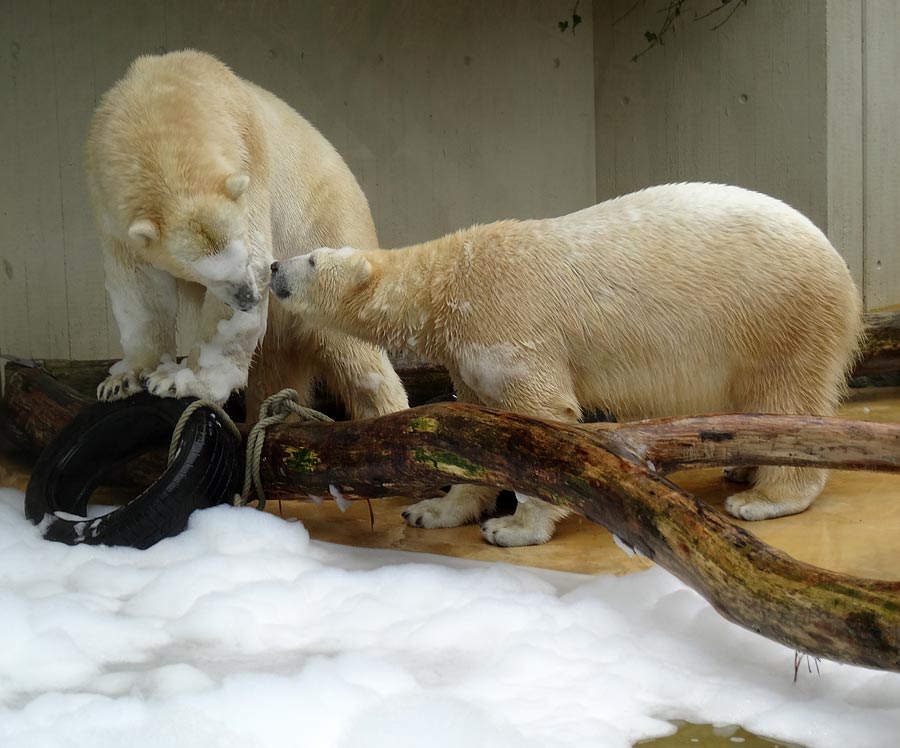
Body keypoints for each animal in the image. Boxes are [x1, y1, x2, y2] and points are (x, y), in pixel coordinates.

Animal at [84, 49, 408, 418]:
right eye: (200, 273)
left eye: (244, 257)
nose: (249, 298)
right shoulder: (105, 193)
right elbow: (139, 284)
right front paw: (123, 379)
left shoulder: (247, 150)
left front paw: (179, 381)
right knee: (271, 371)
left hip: (328, 234)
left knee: (352, 351)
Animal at [268, 181, 864, 544]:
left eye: (313, 257)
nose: (274, 266)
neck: (450, 281)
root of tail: (841, 265)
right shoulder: (469, 354)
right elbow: (474, 430)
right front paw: (431, 511)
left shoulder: (507, 320)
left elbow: (541, 417)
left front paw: (511, 528)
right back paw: (741, 465)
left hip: (777, 315)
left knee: (786, 397)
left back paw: (763, 497)